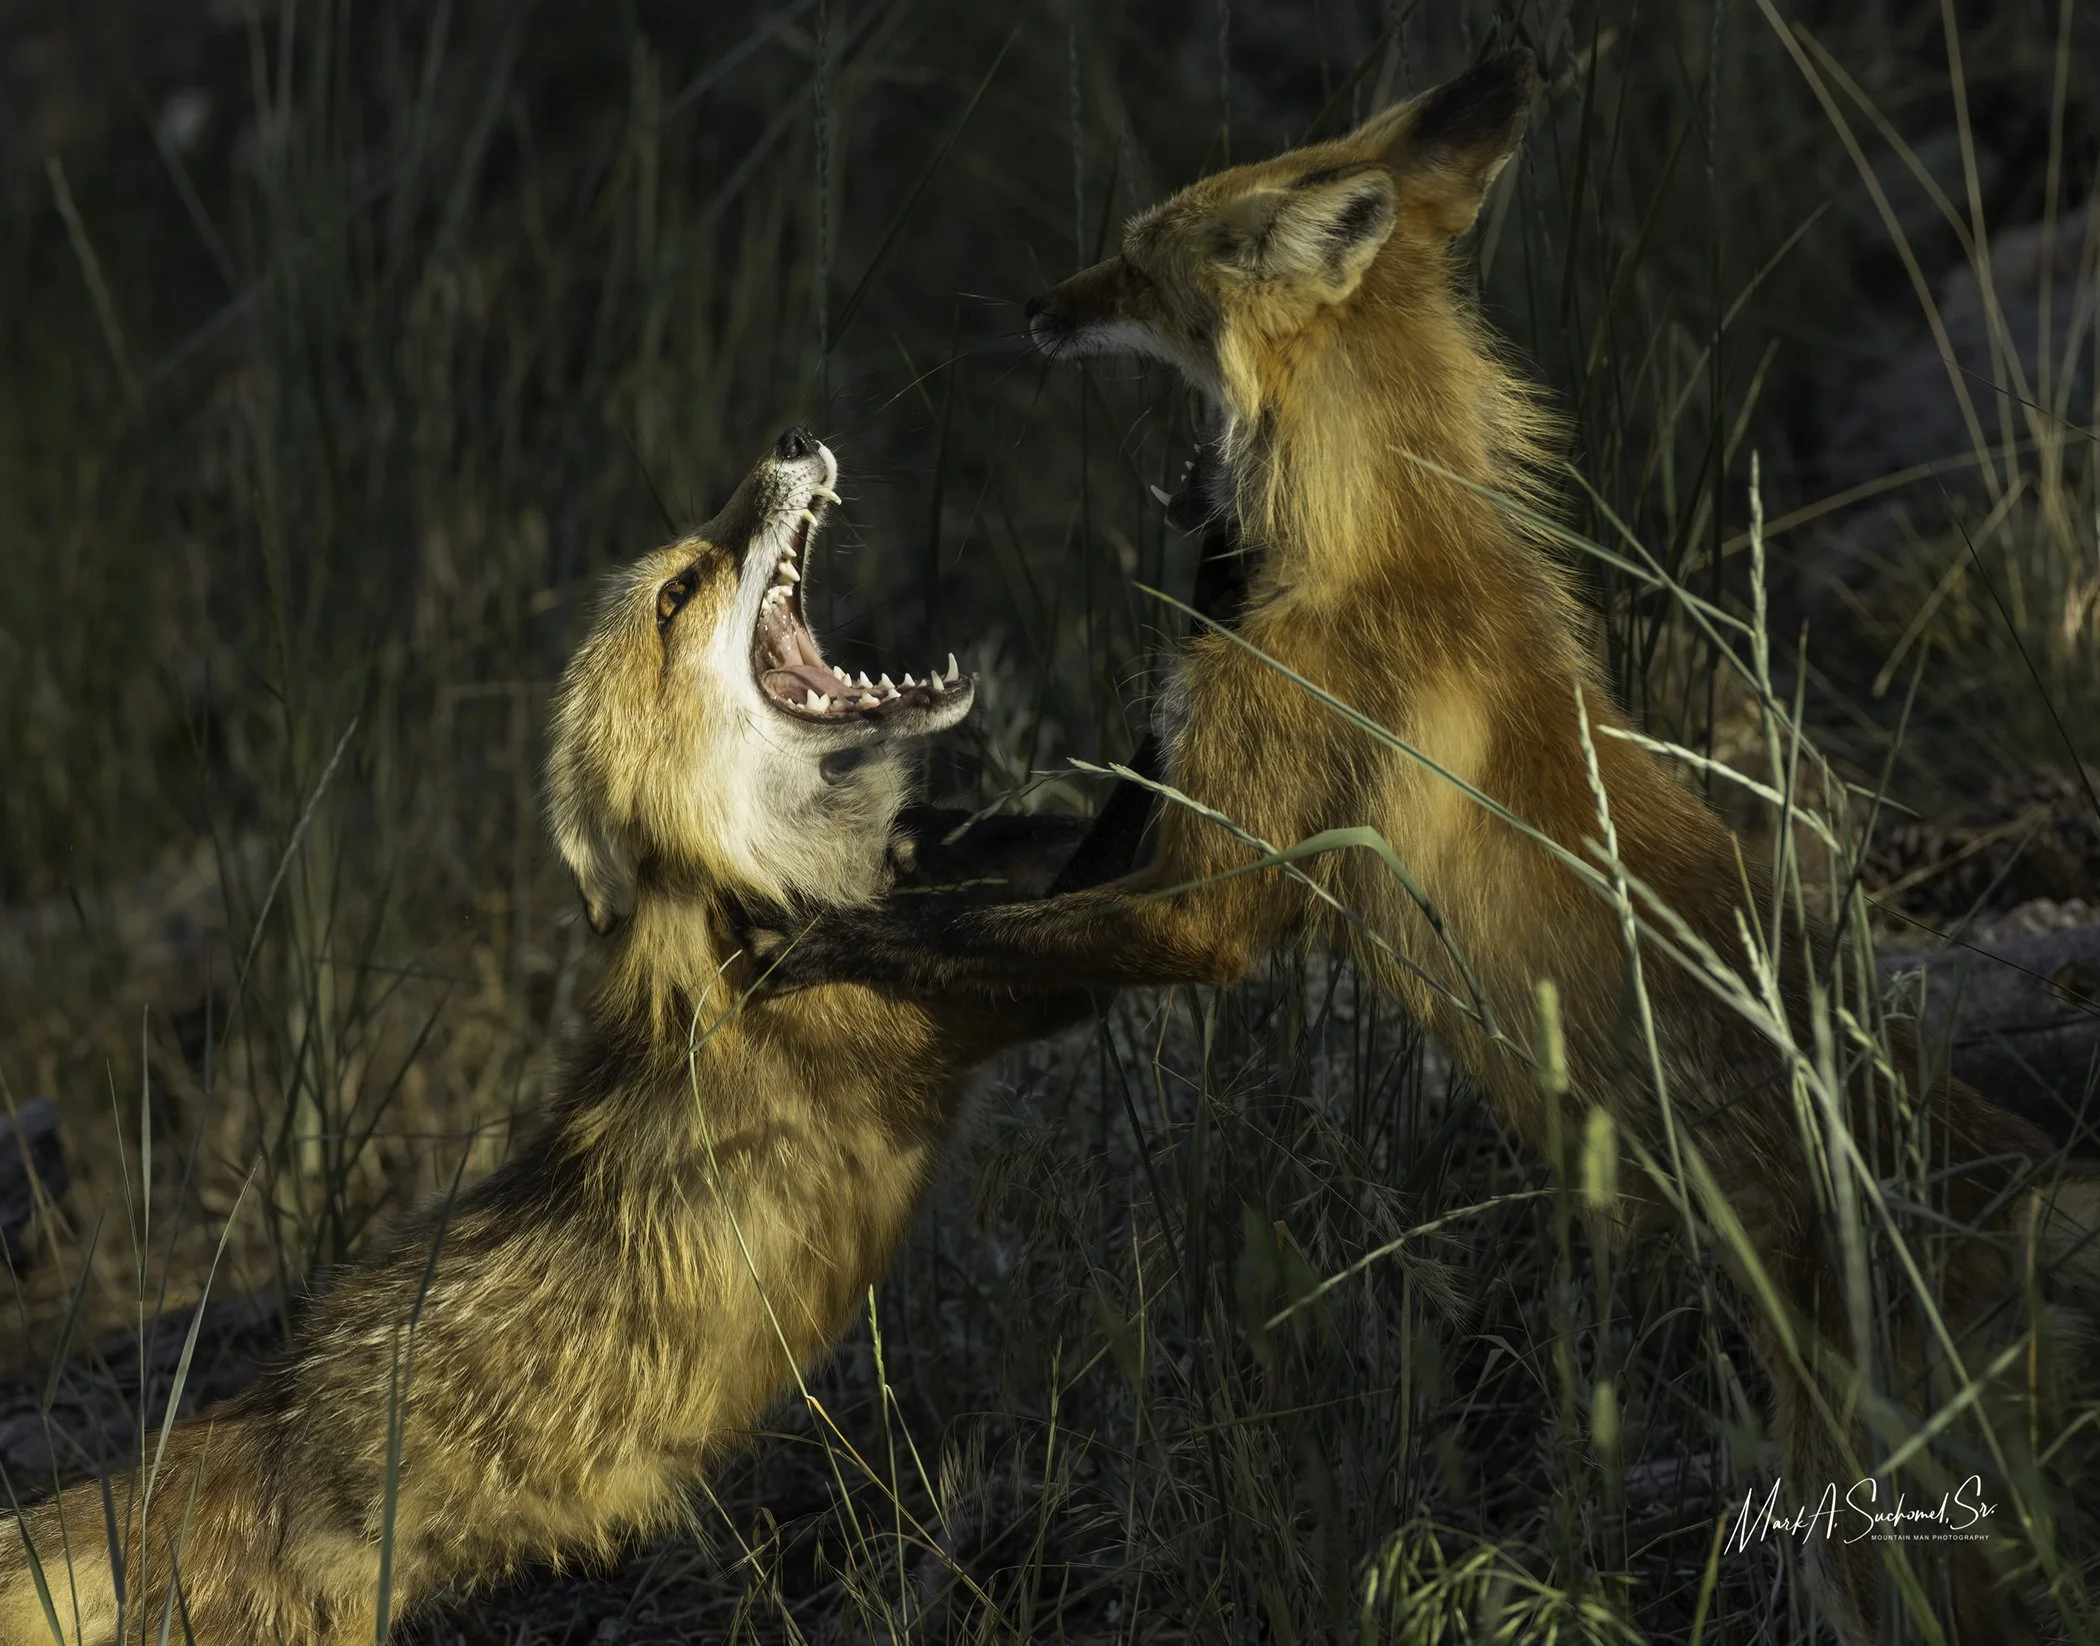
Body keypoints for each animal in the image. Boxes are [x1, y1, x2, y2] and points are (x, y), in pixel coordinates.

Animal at [0, 428, 1111, 1645]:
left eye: (687, 564)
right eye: (677, 593)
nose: (786, 441)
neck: (757, 884)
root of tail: (250, 1421)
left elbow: (1015, 854)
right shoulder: (950, 1010)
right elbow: (1083, 931)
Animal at [740, 53, 2100, 1642]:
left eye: (1139, 259)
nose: (1031, 306)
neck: (1354, 543)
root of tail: (2007, 1187)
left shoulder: (1212, 904)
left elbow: (959, 931)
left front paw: (826, 935)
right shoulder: (1161, 831)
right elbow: (993, 865)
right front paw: (878, 850)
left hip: (1869, 1529)